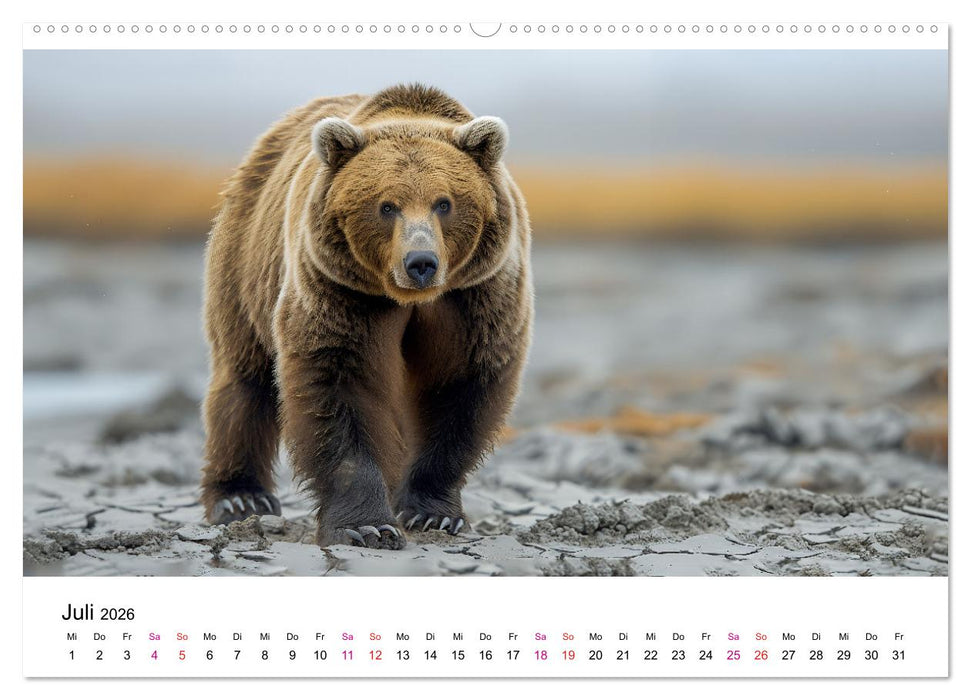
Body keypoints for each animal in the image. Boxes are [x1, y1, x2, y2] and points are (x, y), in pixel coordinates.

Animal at [199, 84, 533, 549]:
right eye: (387, 205)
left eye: (444, 203)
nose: (421, 262)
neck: (410, 300)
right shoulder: (340, 290)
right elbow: (339, 383)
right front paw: (366, 525)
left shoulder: (474, 294)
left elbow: (460, 385)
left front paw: (433, 513)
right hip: (245, 258)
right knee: (245, 378)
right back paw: (240, 498)